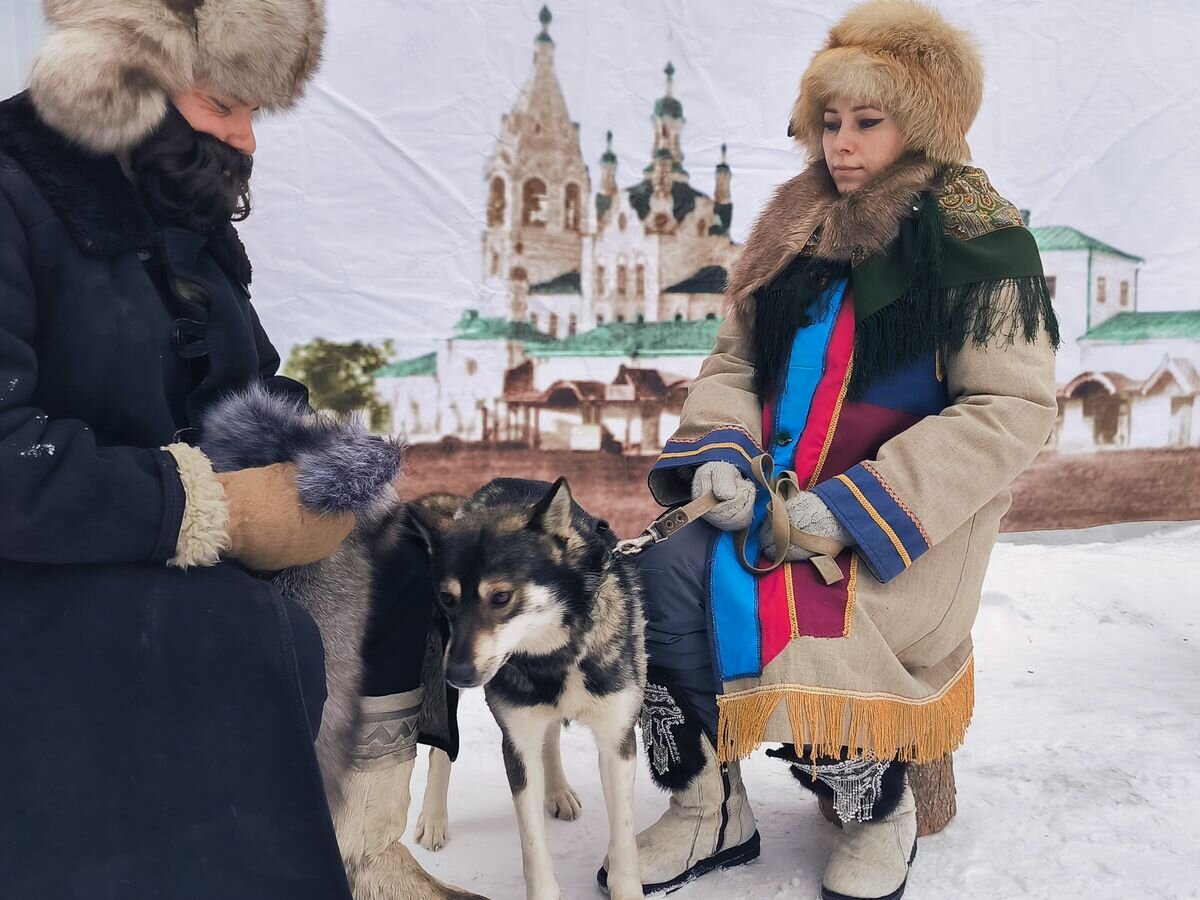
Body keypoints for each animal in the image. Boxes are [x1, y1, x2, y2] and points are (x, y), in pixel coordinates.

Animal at [408, 482, 648, 900]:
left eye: (501, 597)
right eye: (448, 599)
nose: (457, 673)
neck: (555, 655)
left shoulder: (617, 741)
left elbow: (623, 838)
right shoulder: (517, 745)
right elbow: (533, 844)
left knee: (550, 737)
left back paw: (558, 791)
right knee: (442, 748)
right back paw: (434, 817)